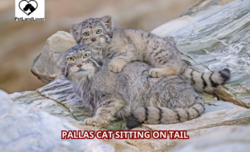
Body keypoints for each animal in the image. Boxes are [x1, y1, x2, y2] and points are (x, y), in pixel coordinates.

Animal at [61, 44, 205, 129]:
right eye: (70, 59)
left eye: (86, 55)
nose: (79, 65)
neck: (84, 80)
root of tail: (195, 95)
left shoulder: (114, 96)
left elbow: (104, 109)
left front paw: (96, 120)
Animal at [70, 15, 230, 92]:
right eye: (86, 34)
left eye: (98, 31)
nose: (93, 39)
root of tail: (178, 56)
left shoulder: (129, 48)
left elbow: (121, 56)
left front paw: (114, 65)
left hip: (156, 51)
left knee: (174, 68)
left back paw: (156, 71)